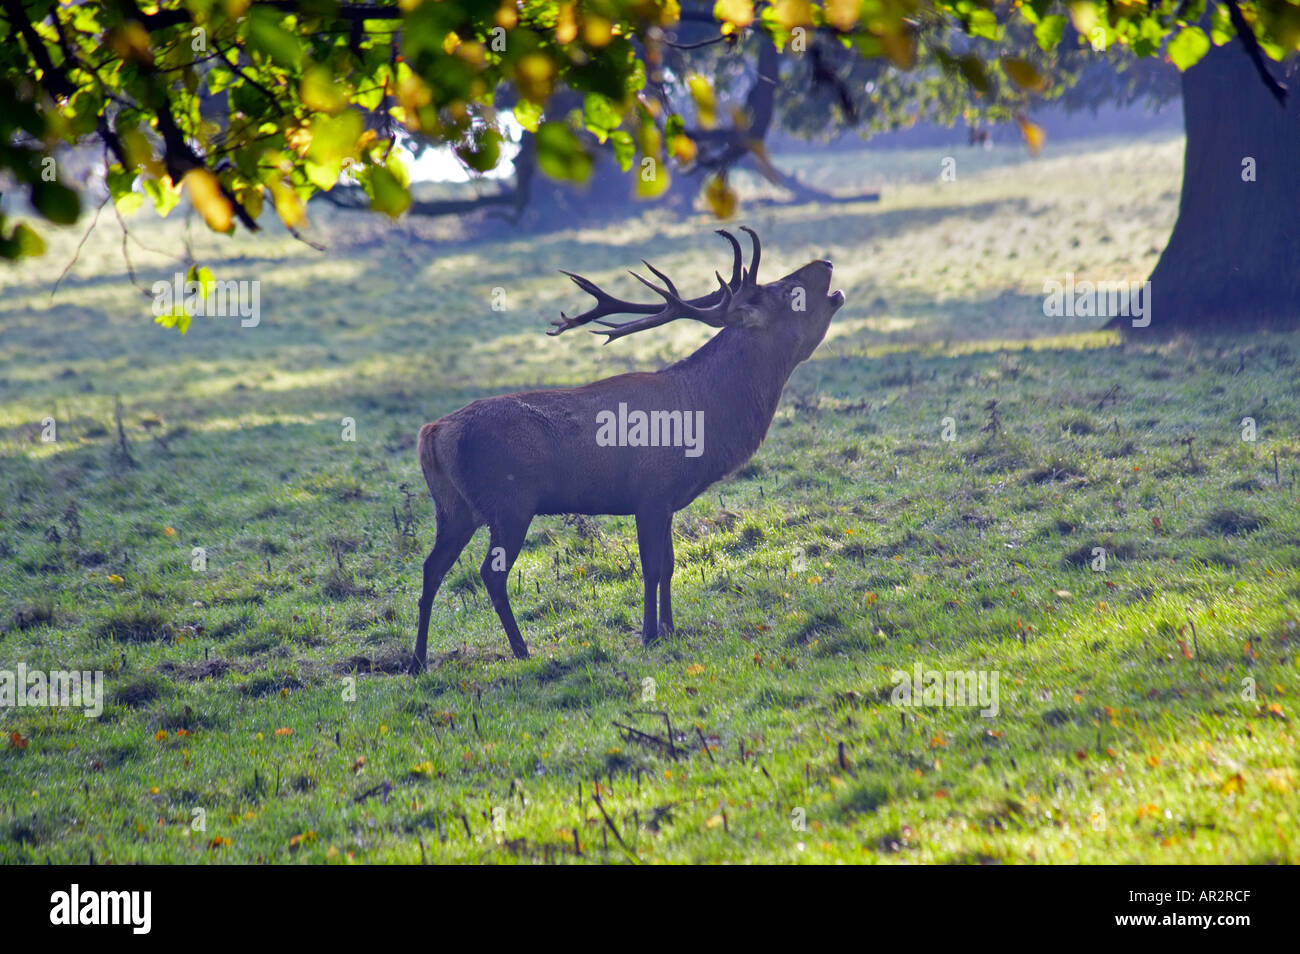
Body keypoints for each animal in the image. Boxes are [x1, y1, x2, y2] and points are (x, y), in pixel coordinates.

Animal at [410, 227, 844, 672]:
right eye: (787, 291)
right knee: (489, 573)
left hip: (454, 509)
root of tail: (431, 434)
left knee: (431, 568)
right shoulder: (650, 492)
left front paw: (670, 629)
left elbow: (670, 565)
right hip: (509, 503)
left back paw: (419, 660)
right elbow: (651, 568)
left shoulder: (666, 500)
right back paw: (520, 649)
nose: (826, 263)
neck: (704, 419)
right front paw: (650, 635)